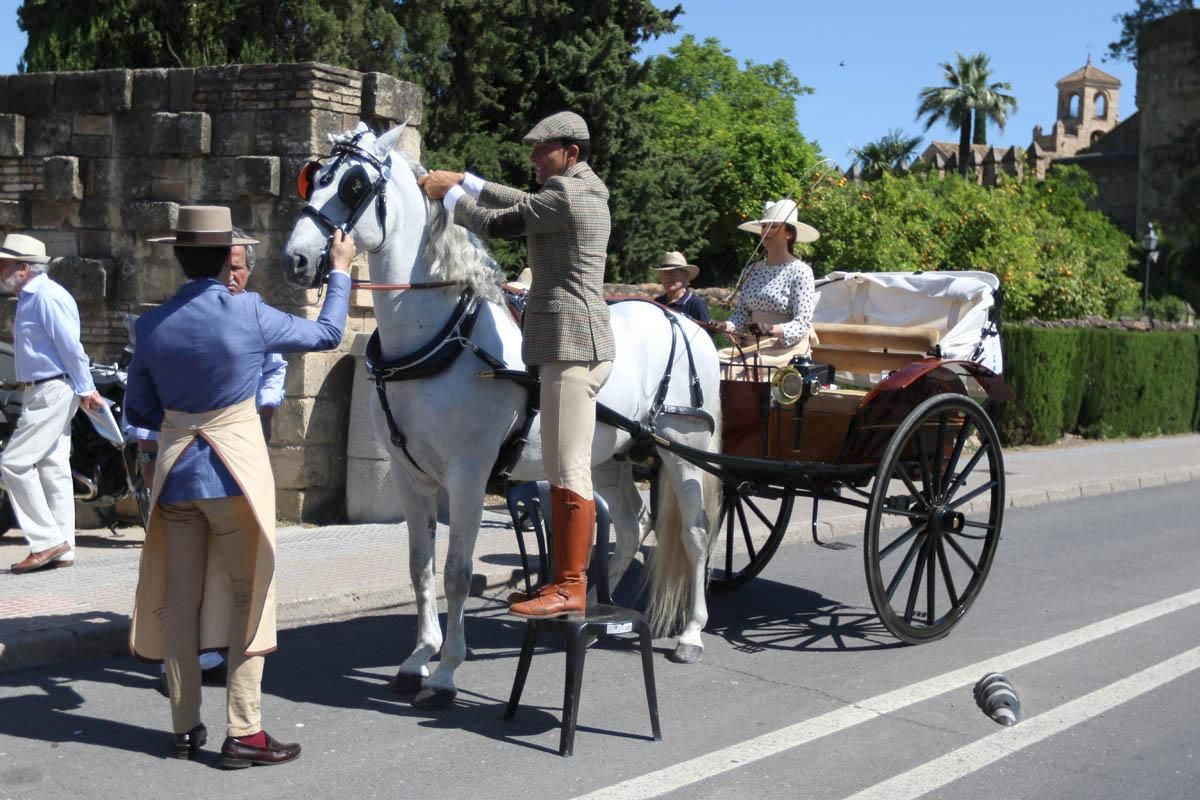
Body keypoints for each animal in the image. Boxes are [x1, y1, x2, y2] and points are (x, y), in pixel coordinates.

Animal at [280, 122, 720, 705]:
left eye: (354, 185)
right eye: (314, 177)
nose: (295, 260)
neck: (445, 336)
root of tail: (682, 321)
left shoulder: (467, 474)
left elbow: (456, 571)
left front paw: (447, 669)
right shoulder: (409, 474)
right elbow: (420, 566)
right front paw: (419, 655)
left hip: (684, 451)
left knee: (695, 533)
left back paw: (691, 632)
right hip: (603, 455)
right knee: (631, 524)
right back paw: (589, 608)